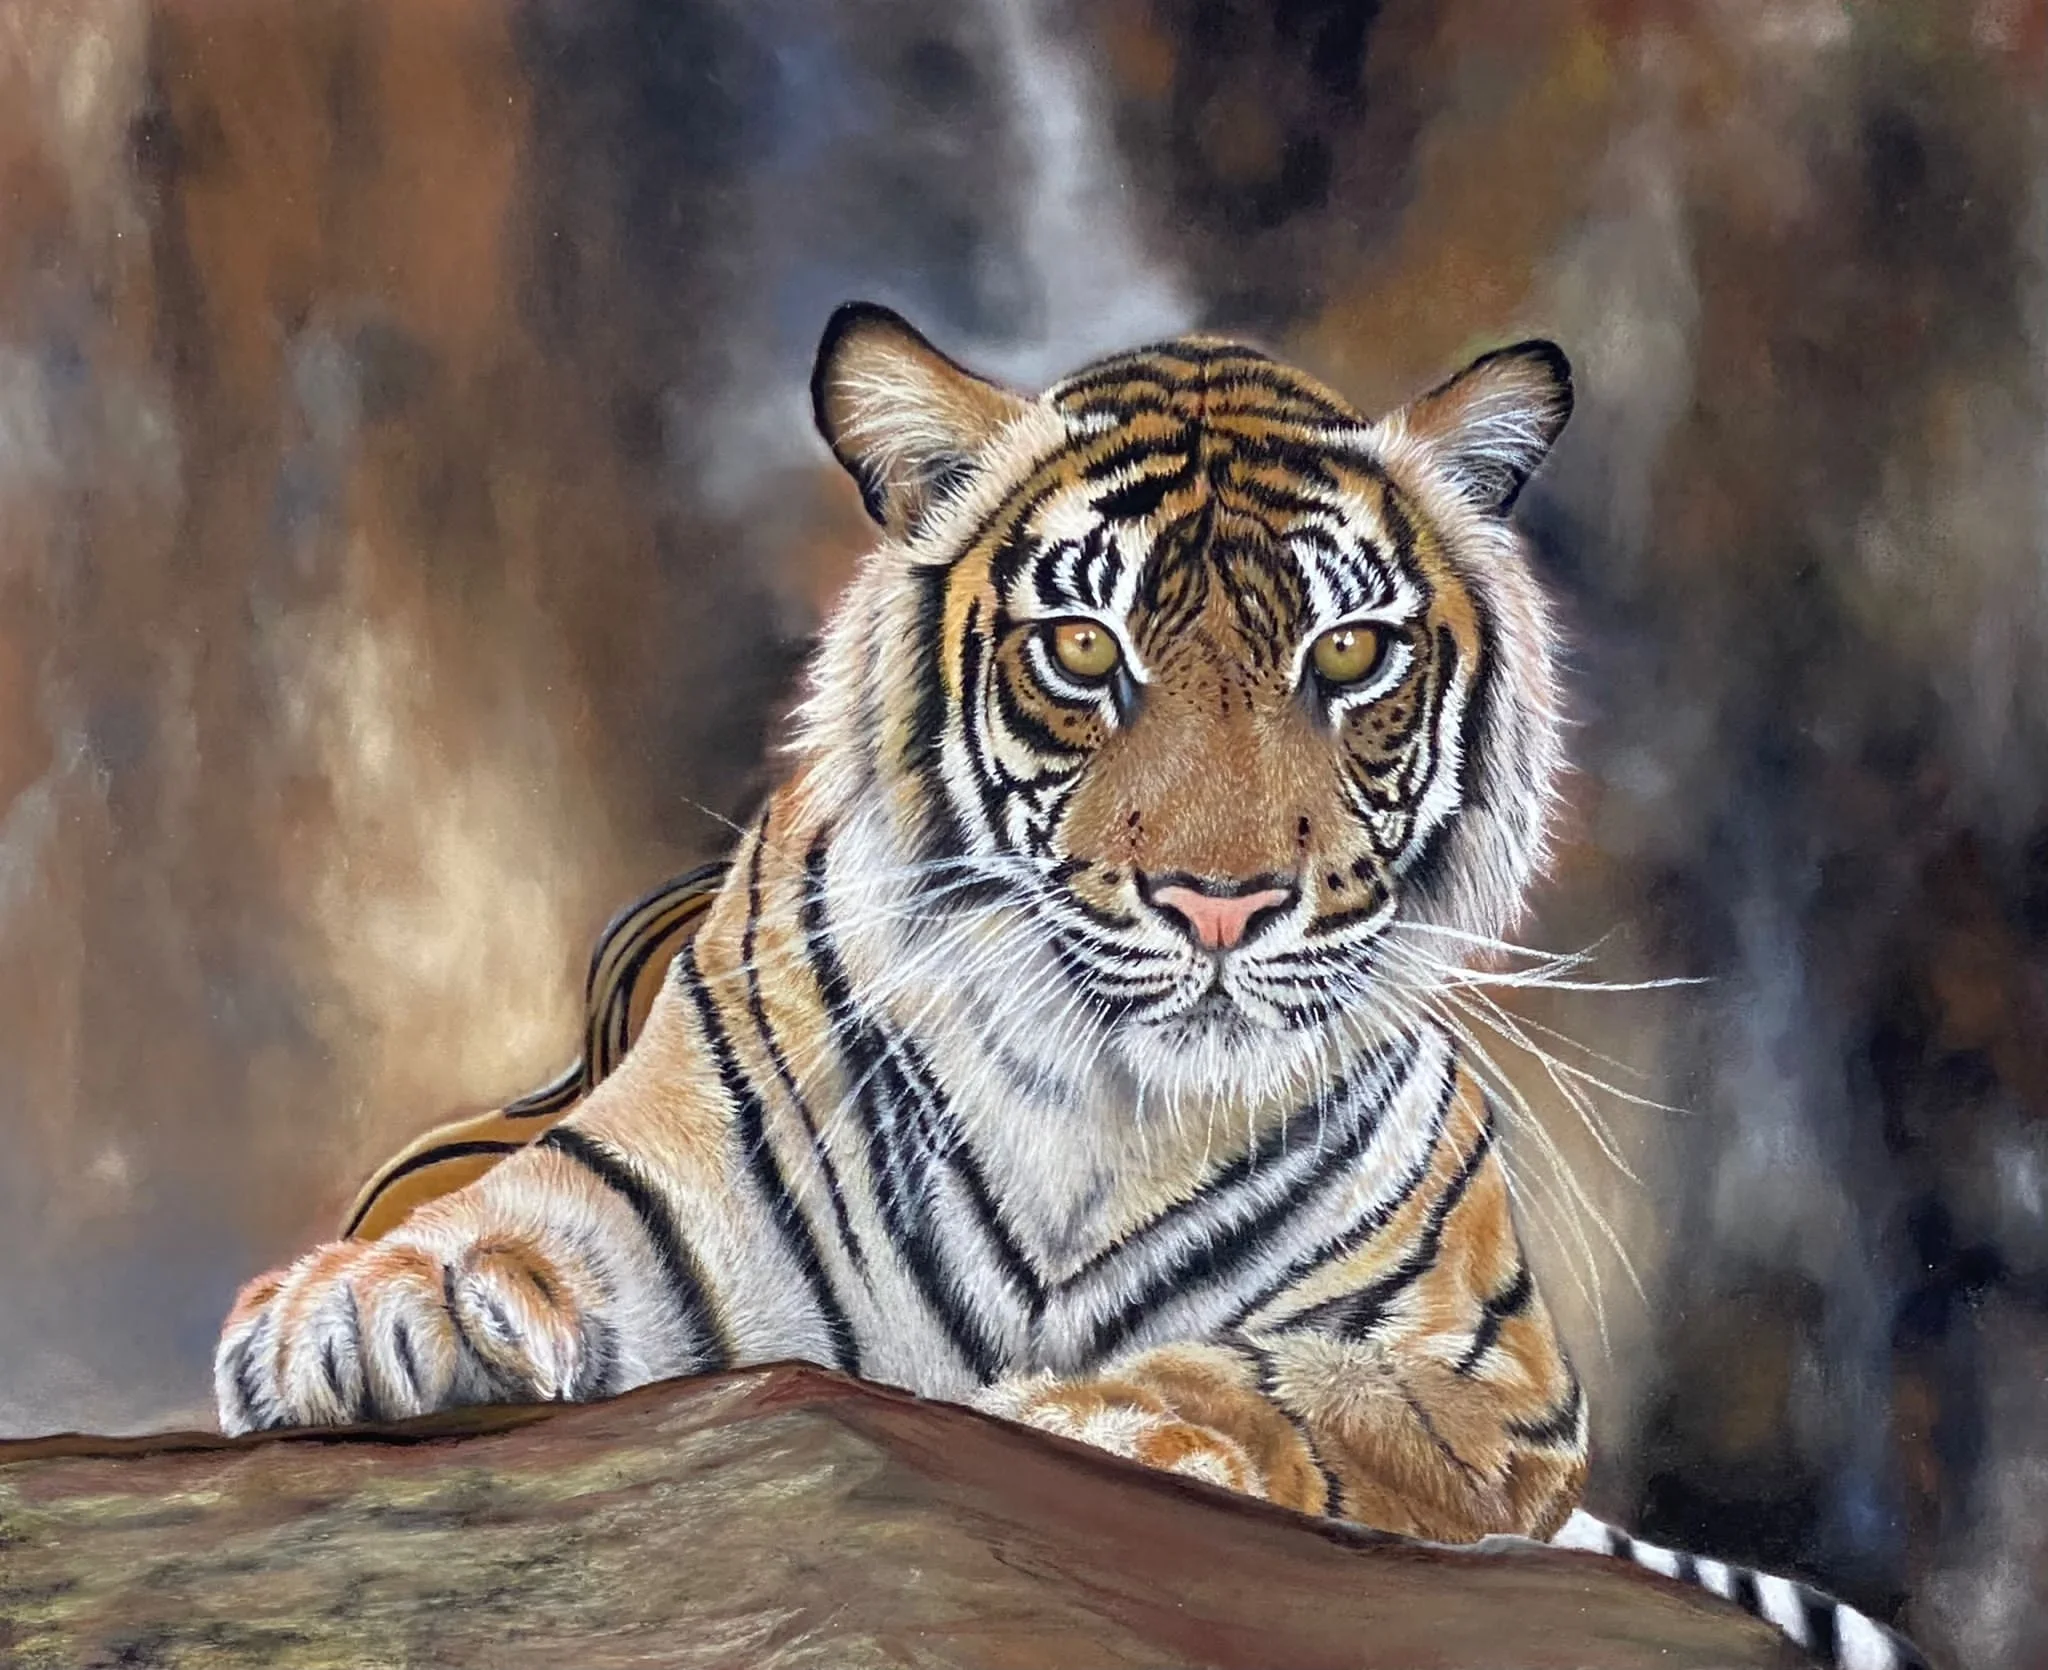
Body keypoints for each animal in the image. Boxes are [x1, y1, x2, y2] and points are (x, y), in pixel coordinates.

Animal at [216, 304, 1931, 1670]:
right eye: (1084, 647)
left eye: (1350, 653)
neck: (1111, 1103)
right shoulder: (651, 1179)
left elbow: (1287, 1379)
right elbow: (508, 1221)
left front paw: (1102, 1416)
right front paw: (359, 1310)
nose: (1222, 902)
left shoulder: (1486, 1372)